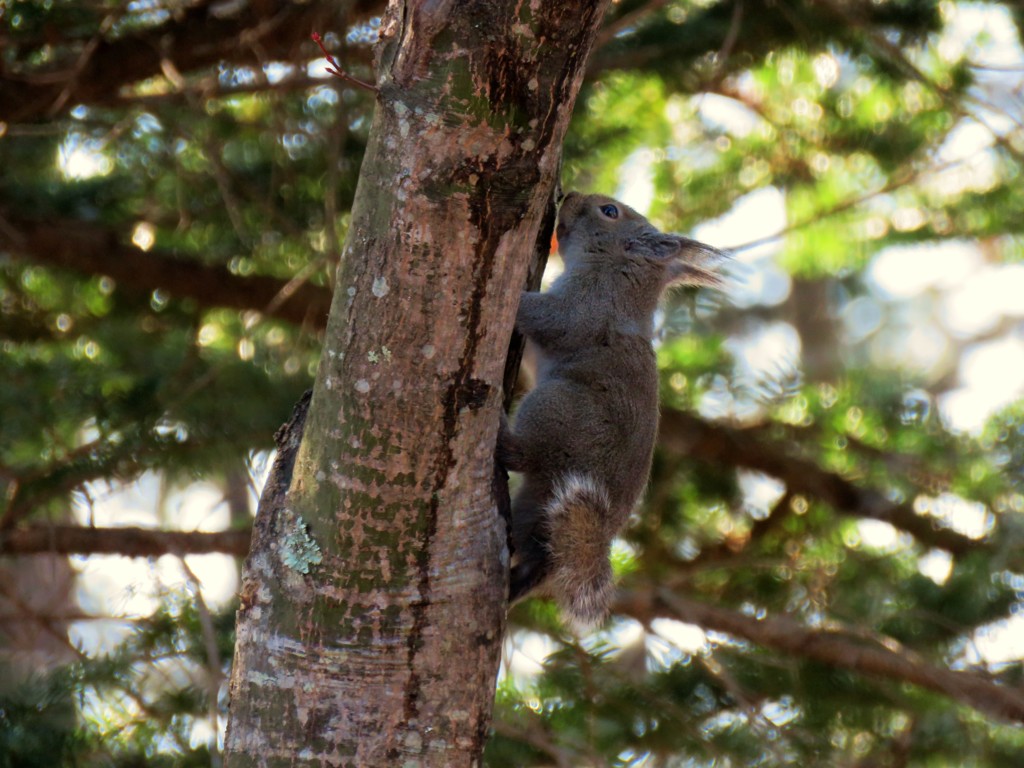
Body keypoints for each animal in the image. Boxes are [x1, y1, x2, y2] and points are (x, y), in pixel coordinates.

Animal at [495, 192, 720, 630]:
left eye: (610, 212)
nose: (568, 195)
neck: (618, 273)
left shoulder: (588, 307)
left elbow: (548, 318)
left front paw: (512, 293)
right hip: (537, 511)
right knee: (539, 560)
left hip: (558, 406)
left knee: (524, 456)